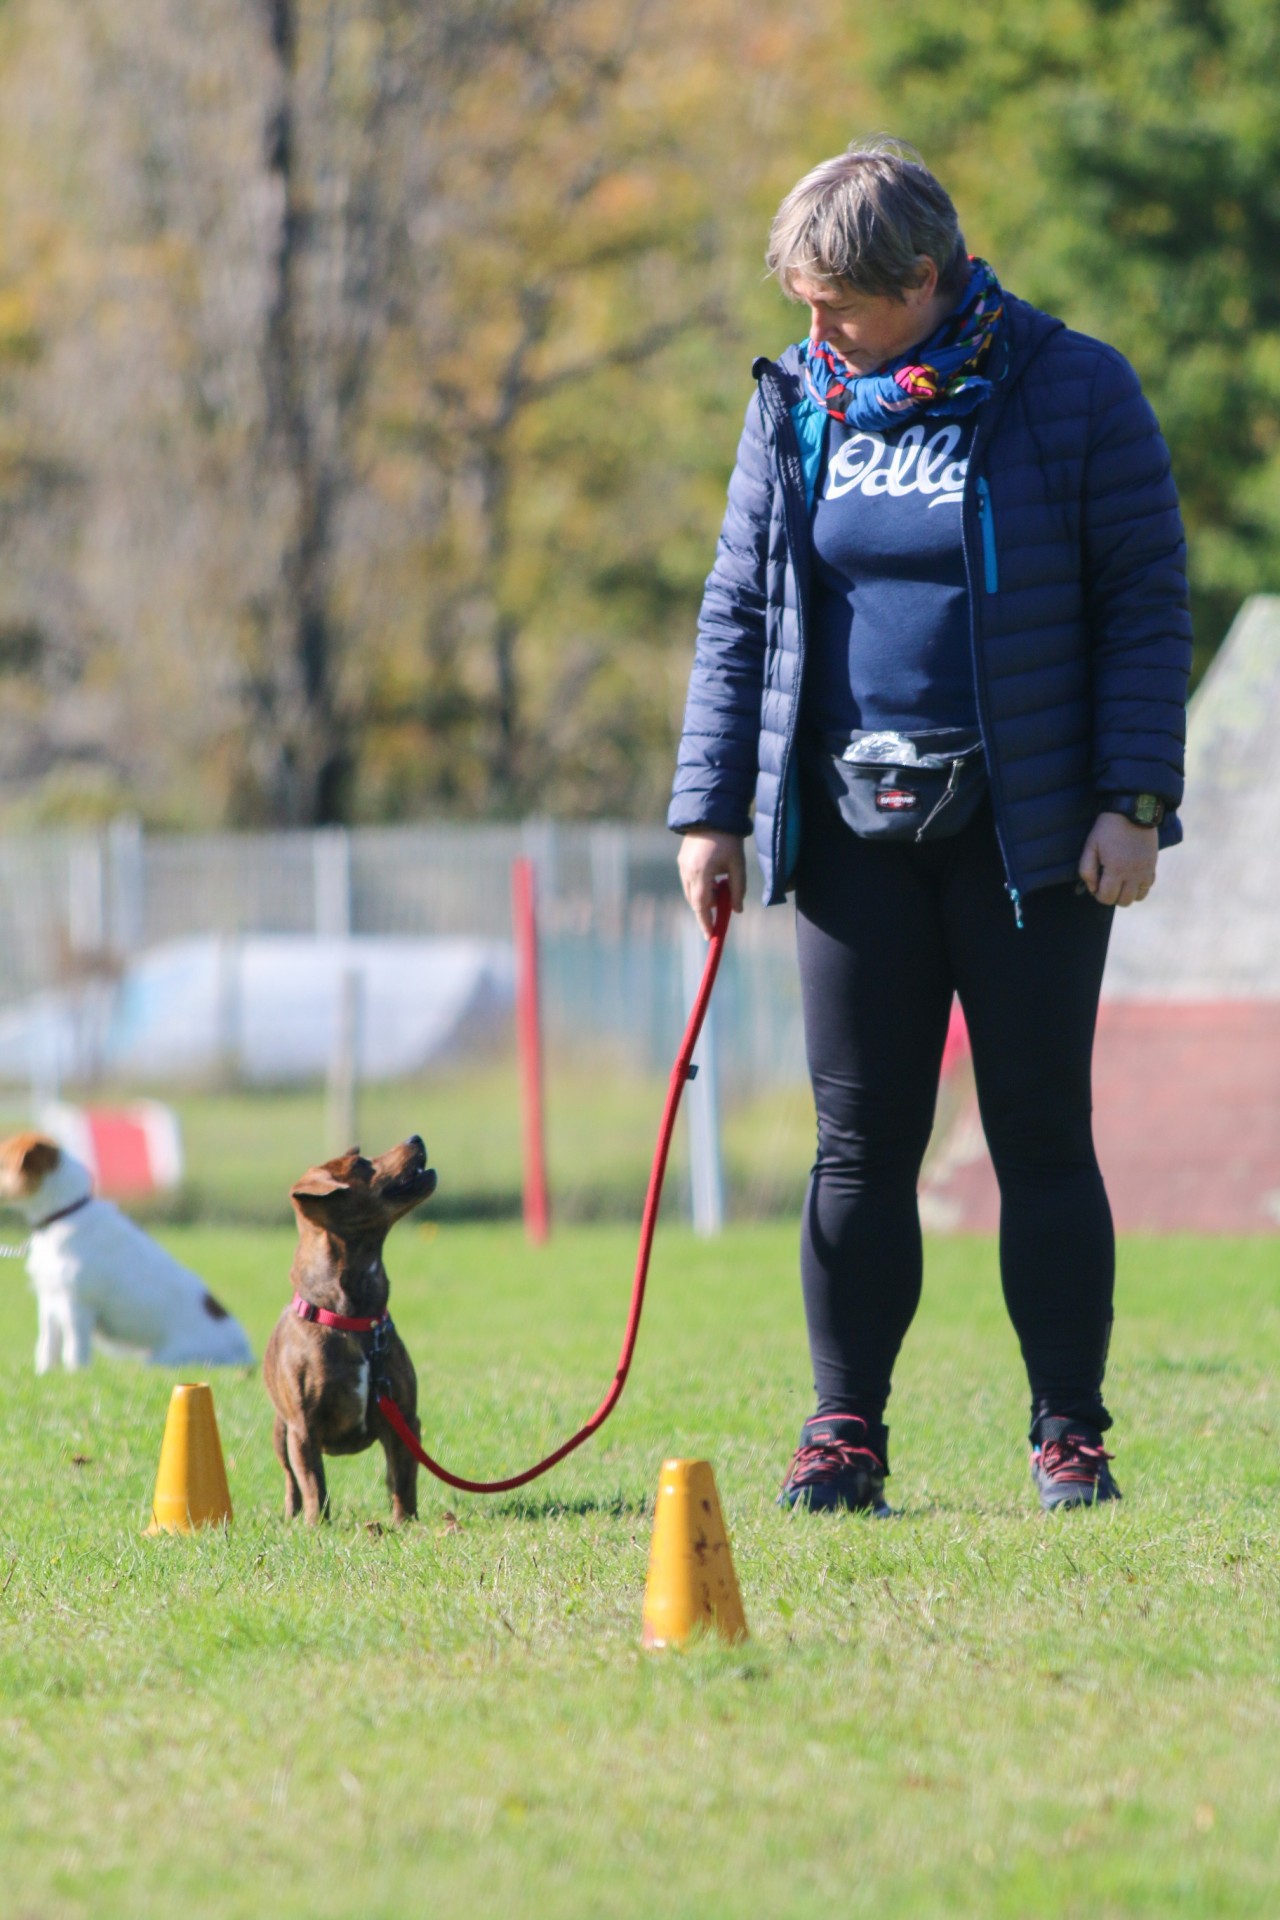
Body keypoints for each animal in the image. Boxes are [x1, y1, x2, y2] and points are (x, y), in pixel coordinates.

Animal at [0, 1128, 255, 1374]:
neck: (65, 1214)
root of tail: (247, 1356)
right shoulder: (50, 1300)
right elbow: (47, 1346)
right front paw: (45, 1374)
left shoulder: (76, 1305)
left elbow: (74, 1349)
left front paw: (76, 1375)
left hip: (165, 1359)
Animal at [262, 1128, 437, 1520]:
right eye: (360, 1164)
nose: (416, 1137)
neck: (352, 1317)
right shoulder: (303, 1429)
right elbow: (314, 1483)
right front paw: (316, 1524)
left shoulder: (405, 1420)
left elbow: (404, 1478)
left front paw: (406, 1522)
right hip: (280, 1432)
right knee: (290, 1478)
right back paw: (292, 1515)